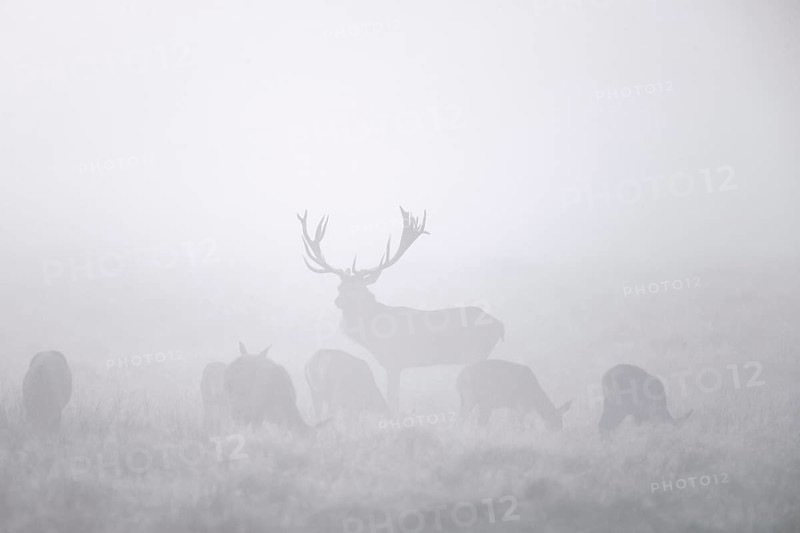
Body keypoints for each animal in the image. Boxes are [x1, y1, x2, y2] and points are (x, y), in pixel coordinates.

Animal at [298, 207, 505, 412]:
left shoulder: (394, 361)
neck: (373, 333)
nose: (338, 301)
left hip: (477, 352)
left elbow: (393, 399)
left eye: (357, 288)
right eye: (340, 287)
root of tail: (500, 325)